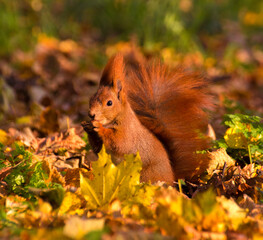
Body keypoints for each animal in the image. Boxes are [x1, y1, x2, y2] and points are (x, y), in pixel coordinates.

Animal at [83, 53, 214, 184]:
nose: (91, 114)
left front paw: (99, 128)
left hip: (146, 174)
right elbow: (98, 148)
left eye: (109, 103)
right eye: (91, 98)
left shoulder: (128, 132)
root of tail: (172, 178)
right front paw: (87, 126)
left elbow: (119, 142)